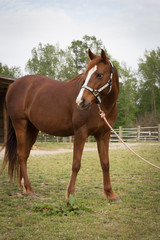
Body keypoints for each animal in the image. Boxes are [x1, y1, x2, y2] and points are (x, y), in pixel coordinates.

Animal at [0, 49, 119, 202]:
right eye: (86, 74)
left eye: (99, 74)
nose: (81, 102)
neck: (102, 106)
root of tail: (12, 86)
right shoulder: (81, 133)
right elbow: (76, 164)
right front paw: (70, 194)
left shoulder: (104, 134)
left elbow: (105, 163)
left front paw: (110, 194)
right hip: (20, 124)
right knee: (20, 155)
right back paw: (29, 189)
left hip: (32, 129)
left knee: (25, 155)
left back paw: (25, 187)